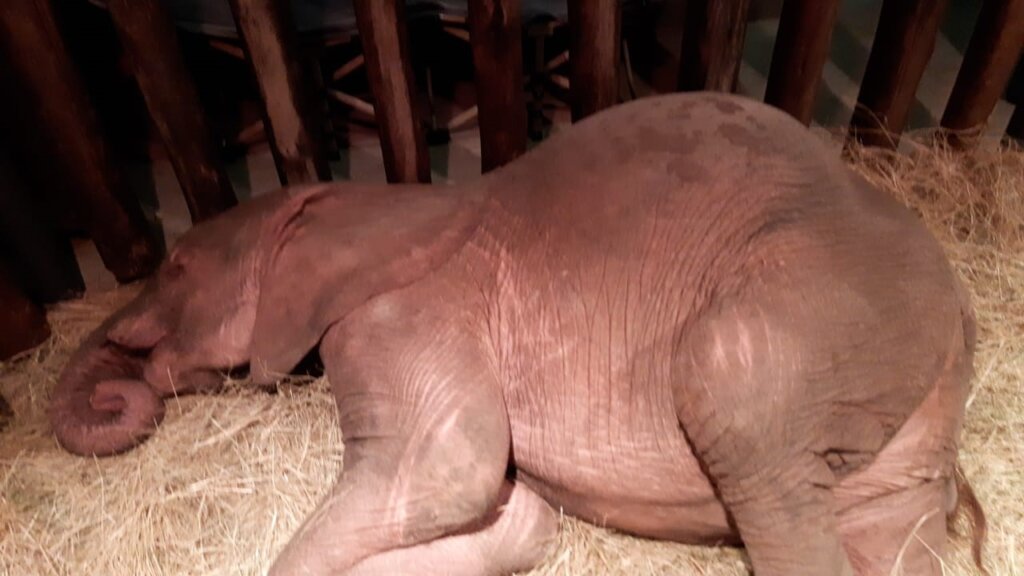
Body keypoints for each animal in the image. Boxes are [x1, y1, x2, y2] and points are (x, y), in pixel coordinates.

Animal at [49, 92, 986, 576]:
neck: (359, 201)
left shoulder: (402, 309)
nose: (120, 388)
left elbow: (446, 468)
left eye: (175, 268)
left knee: (737, 392)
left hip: (820, 299)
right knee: (891, 533)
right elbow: (515, 514)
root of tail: (960, 312)